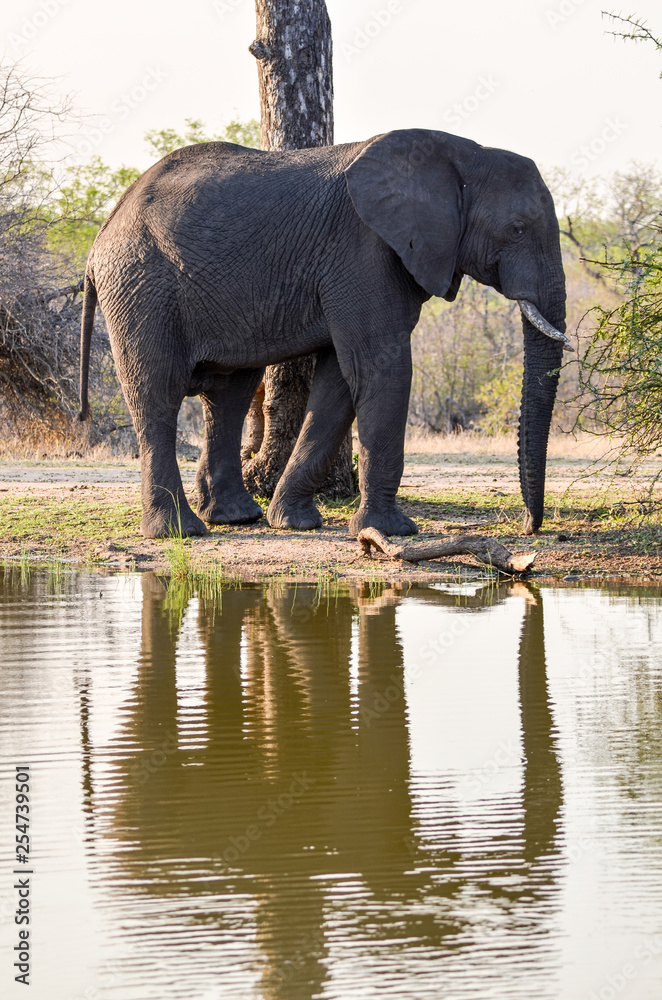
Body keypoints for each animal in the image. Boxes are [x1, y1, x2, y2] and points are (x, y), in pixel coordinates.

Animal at [78, 128, 571, 539]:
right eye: (517, 229)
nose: (528, 527)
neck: (463, 154)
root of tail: (102, 231)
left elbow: (339, 384)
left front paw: (295, 522)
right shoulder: (364, 251)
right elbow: (381, 369)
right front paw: (391, 531)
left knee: (229, 394)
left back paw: (237, 518)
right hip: (141, 284)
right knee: (157, 395)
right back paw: (179, 533)